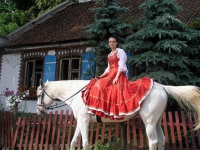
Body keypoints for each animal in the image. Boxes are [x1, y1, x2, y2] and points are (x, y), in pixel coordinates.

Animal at [36, 79, 200, 149]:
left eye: (38, 95)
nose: (39, 111)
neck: (78, 94)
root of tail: (162, 87)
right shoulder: (80, 122)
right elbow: (73, 142)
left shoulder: (84, 121)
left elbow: (85, 143)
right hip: (157, 121)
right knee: (161, 140)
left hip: (149, 122)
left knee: (153, 142)